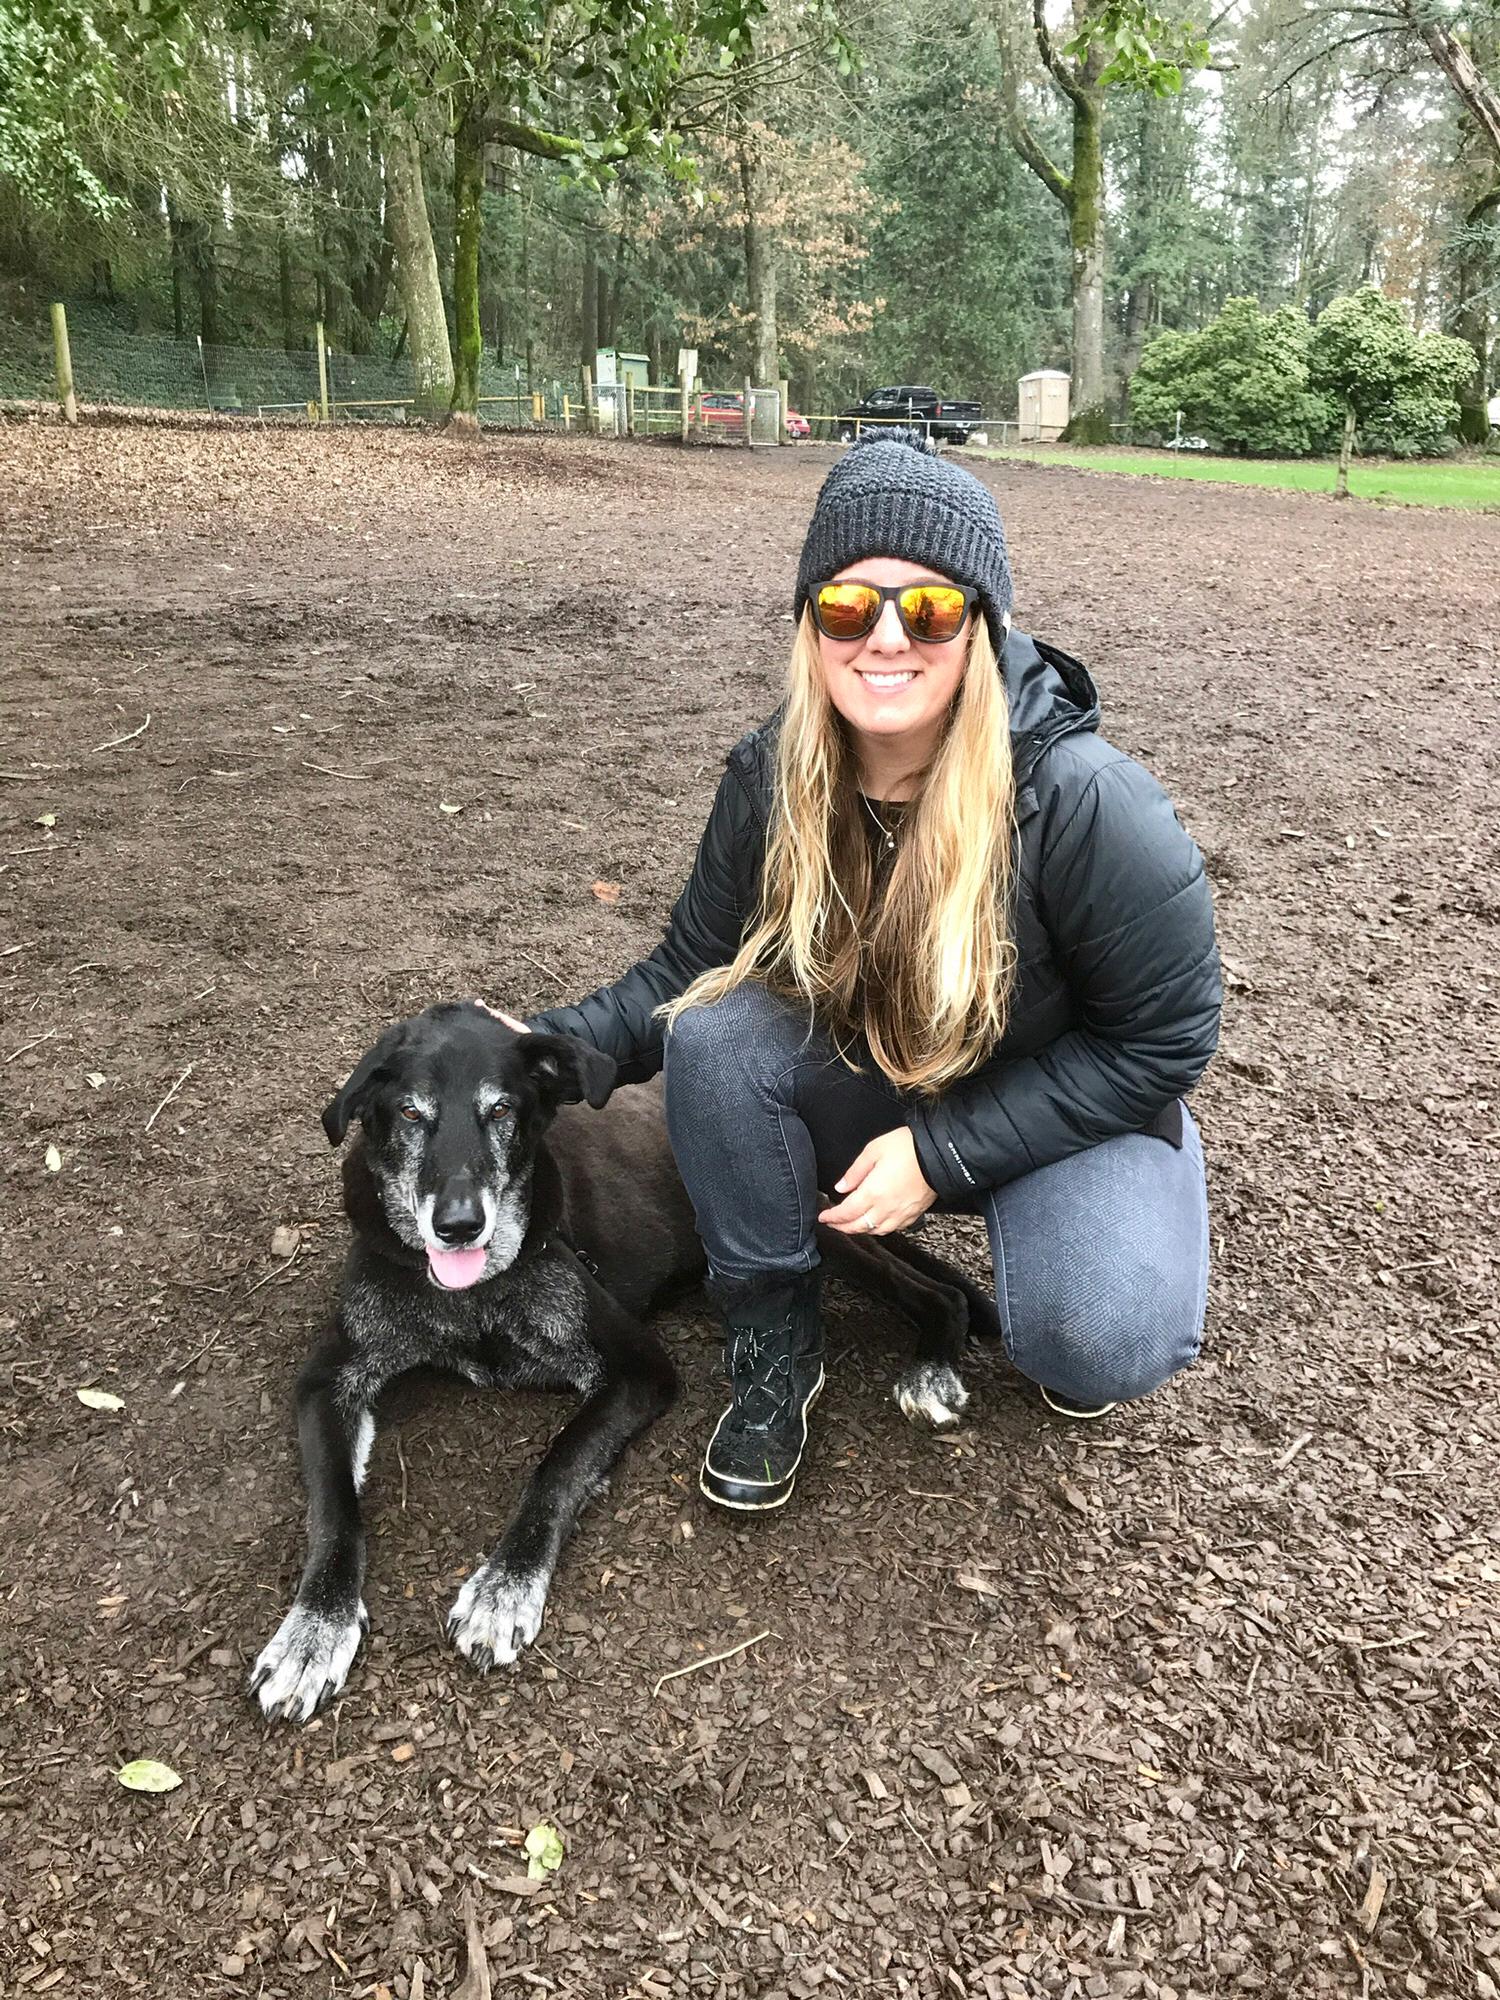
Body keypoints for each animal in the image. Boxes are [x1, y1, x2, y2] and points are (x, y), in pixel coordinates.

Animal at [253, 1000, 992, 1720]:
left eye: (501, 1110)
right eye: (411, 1113)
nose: (459, 1226)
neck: (475, 1296)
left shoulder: (638, 1367)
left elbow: (558, 1464)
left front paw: (505, 1587)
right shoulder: (328, 1381)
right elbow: (334, 1510)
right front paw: (313, 1631)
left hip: (819, 1228)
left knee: (940, 1293)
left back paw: (932, 1368)